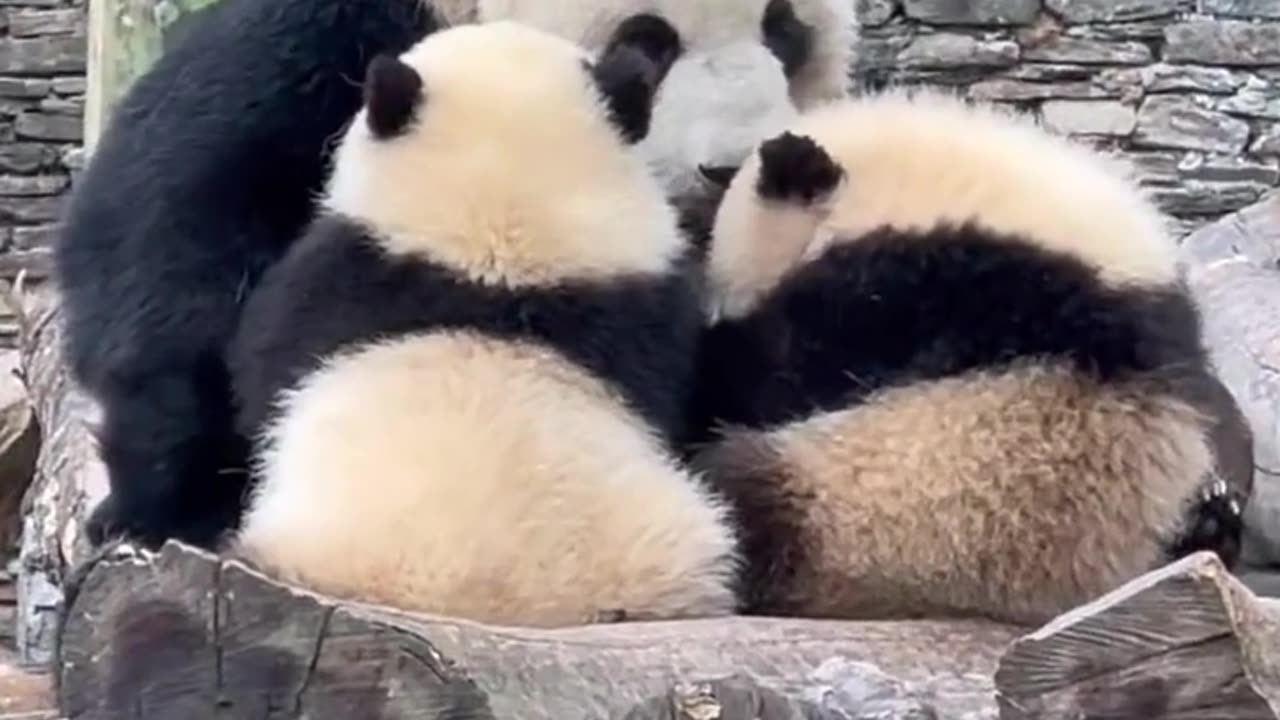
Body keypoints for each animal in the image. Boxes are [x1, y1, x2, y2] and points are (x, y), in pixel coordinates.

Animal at [55, 0, 855, 548]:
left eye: (784, 28)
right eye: (648, 38)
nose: (729, 168)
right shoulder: (336, 50)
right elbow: (176, 226)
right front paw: (177, 499)